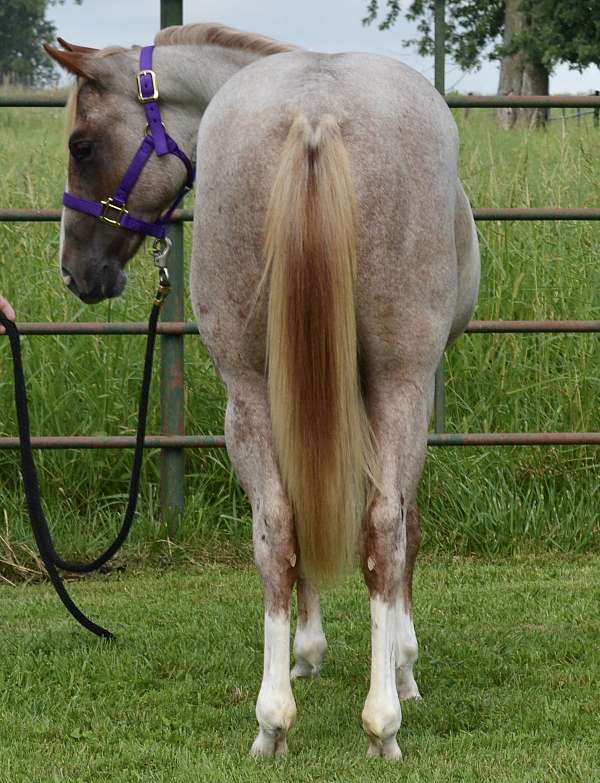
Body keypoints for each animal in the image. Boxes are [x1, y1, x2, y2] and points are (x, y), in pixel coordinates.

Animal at [44, 23, 480, 760]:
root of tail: (315, 109)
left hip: (250, 388)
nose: (76, 270)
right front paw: (399, 661)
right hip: (394, 382)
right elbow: (402, 521)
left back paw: (272, 720)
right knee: (381, 524)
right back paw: (381, 720)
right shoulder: (406, 387)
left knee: (277, 523)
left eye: (82, 145)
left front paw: (315, 652)